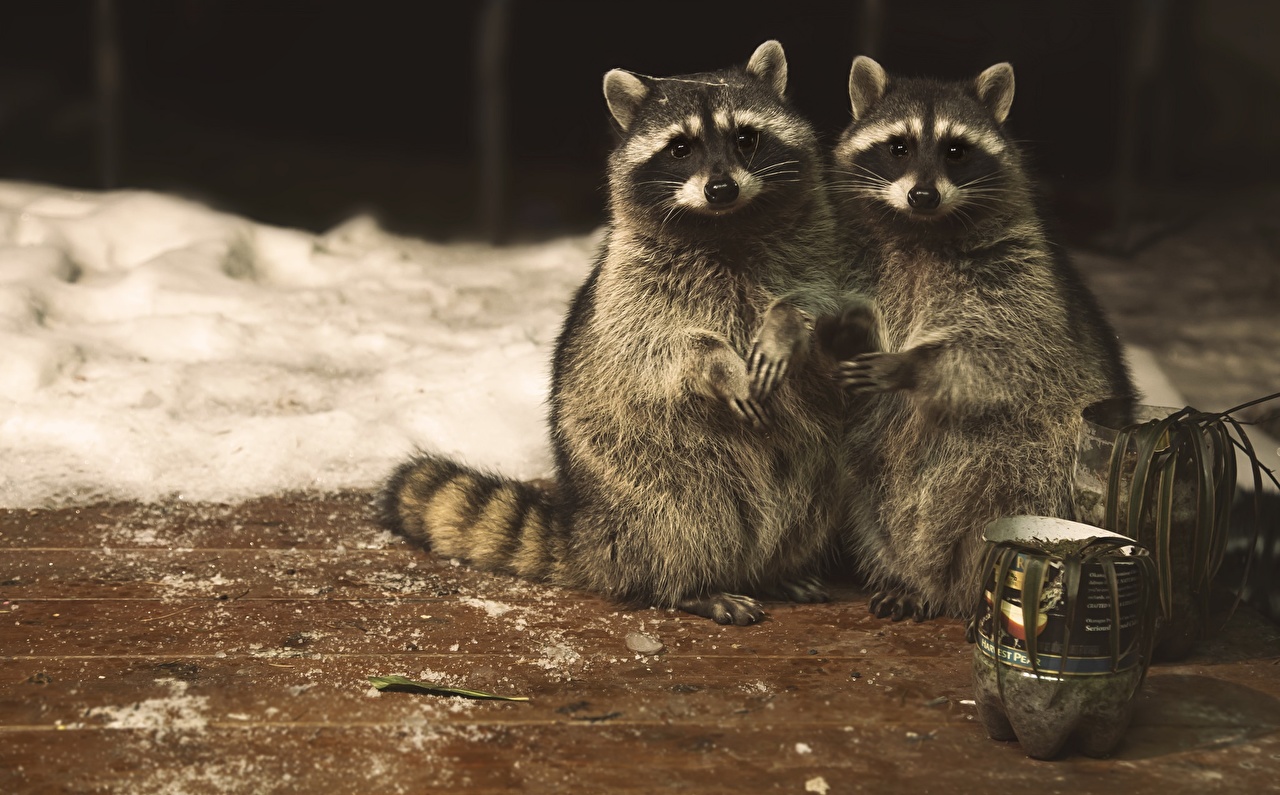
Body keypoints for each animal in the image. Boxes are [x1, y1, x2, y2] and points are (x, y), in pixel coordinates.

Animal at [381, 41, 848, 625]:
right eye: (680, 148)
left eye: (746, 137)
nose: (720, 189)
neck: (726, 225)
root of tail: (591, 530)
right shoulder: (631, 287)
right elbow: (662, 346)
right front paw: (718, 363)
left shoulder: (820, 250)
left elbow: (826, 306)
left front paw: (787, 325)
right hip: (643, 473)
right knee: (686, 516)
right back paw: (689, 585)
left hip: (817, 466)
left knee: (810, 500)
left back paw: (778, 570)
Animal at [825, 56, 1136, 622]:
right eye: (898, 147)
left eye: (956, 150)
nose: (923, 195)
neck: (920, 230)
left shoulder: (1019, 271)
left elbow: (1000, 351)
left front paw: (913, 365)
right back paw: (902, 573)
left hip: (1041, 461)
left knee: (1009, 488)